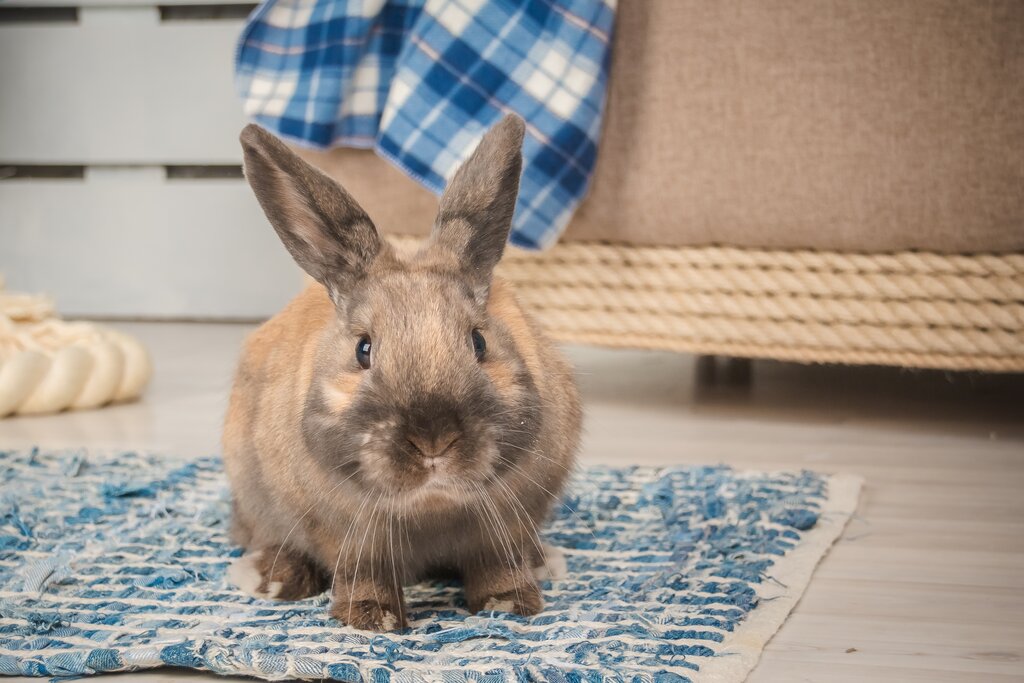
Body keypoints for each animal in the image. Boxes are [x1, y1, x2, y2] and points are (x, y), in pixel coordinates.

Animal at [222, 114, 582, 632]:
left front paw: (509, 604)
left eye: (479, 342)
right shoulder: (349, 536)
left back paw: (543, 561)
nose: (433, 441)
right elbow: (363, 572)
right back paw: (272, 578)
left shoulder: (505, 527)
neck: (430, 506)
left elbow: (497, 563)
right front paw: (371, 619)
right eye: (363, 349)